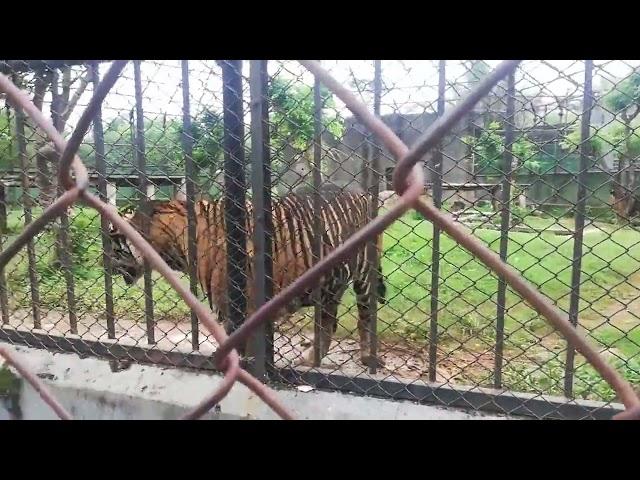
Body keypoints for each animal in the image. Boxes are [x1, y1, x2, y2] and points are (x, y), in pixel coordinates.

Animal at [110, 188, 388, 368]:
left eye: (114, 244)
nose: (105, 264)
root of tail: (362, 193)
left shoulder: (237, 307)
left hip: (365, 275)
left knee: (365, 317)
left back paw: (368, 358)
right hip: (331, 285)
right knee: (328, 323)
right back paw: (312, 360)